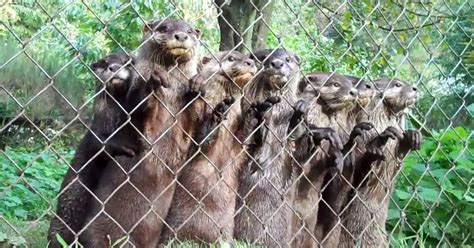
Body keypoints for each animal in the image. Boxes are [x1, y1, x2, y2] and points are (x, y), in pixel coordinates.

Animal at [48, 51, 141, 246]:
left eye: (127, 62)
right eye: (104, 62)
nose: (114, 67)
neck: (117, 123)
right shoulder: (95, 131)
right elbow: (99, 144)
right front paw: (124, 146)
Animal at [79, 19, 202, 248]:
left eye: (190, 31)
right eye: (164, 28)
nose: (181, 36)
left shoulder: (185, 129)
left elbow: (191, 119)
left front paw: (198, 84)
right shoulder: (136, 112)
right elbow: (143, 115)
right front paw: (154, 82)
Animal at [158, 50, 260, 244]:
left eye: (247, 57)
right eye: (231, 58)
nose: (251, 62)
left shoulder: (235, 145)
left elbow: (242, 142)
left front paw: (253, 115)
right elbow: (198, 142)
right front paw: (215, 114)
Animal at [232, 48, 306, 246]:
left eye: (287, 59)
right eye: (265, 57)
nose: (277, 63)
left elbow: (295, 138)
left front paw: (299, 112)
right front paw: (257, 115)